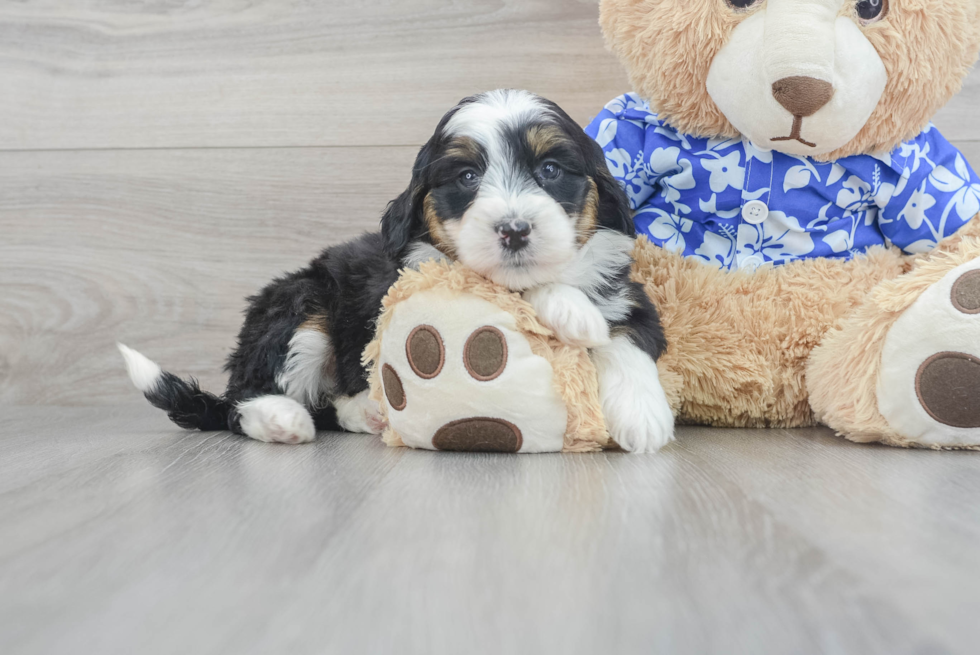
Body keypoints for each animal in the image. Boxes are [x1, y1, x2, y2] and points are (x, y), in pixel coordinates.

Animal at [118, 89, 672, 454]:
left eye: (551, 171)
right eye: (467, 177)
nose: (514, 231)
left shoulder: (629, 295)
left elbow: (626, 338)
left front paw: (643, 416)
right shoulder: (418, 276)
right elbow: (495, 284)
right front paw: (571, 311)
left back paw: (363, 409)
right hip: (300, 306)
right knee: (244, 398)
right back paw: (281, 419)